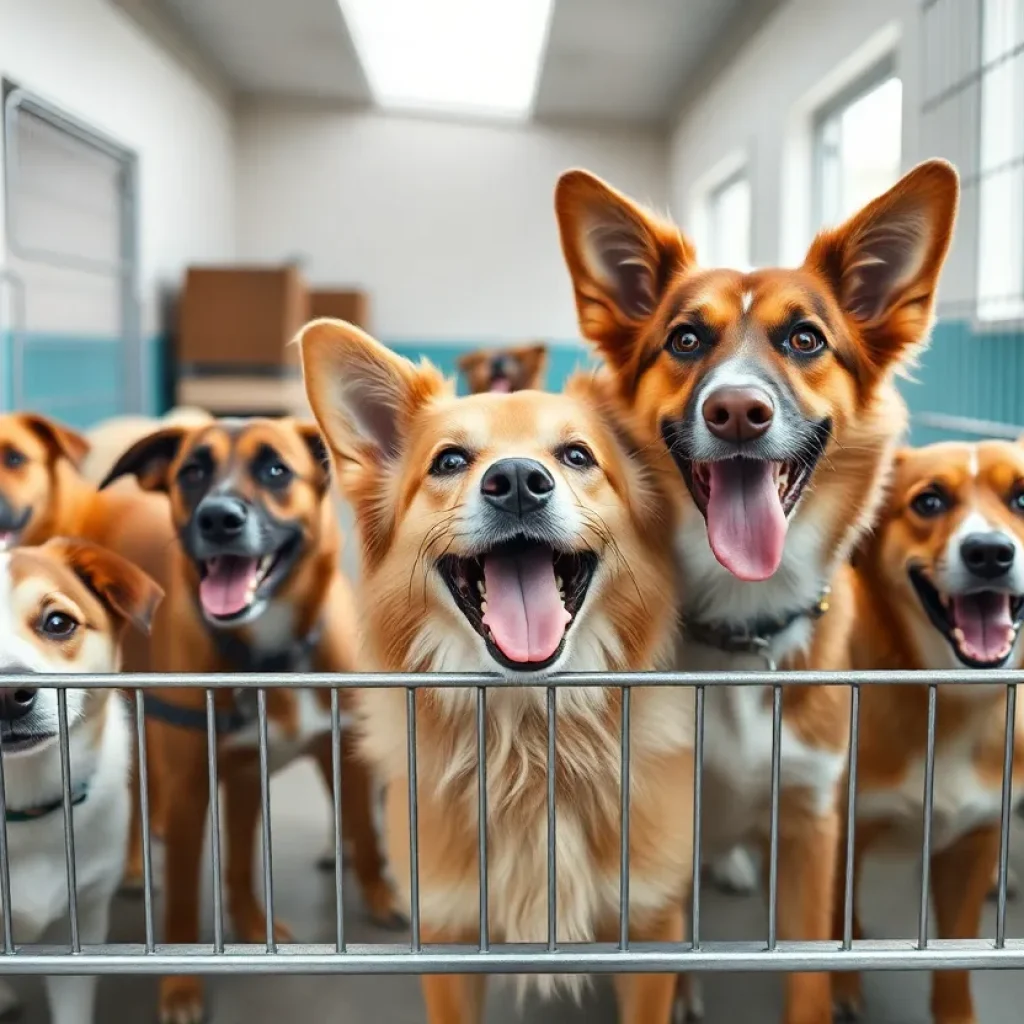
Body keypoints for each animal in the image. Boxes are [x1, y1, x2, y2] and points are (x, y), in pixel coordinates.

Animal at [101, 415, 399, 1024]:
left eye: (276, 470)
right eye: (191, 472)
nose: (218, 518)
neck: (268, 654)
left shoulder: (332, 755)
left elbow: (359, 829)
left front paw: (377, 897)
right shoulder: (192, 787)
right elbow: (182, 907)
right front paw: (180, 989)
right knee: (143, 795)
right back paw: (137, 865)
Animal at [299, 319, 692, 1024]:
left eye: (577, 456)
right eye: (450, 461)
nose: (514, 480)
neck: (529, 742)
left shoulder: (652, 932)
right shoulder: (448, 939)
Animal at [552, 159, 958, 1024]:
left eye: (805, 339)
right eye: (685, 339)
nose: (737, 409)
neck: (741, 632)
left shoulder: (812, 824)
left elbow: (806, 968)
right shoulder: (659, 823)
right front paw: (678, 989)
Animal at [835, 442, 1024, 1024]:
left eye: (1022, 498)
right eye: (930, 501)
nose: (990, 553)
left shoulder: (972, 843)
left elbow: (955, 962)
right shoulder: (837, 831)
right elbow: (834, 925)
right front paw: (839, 990)